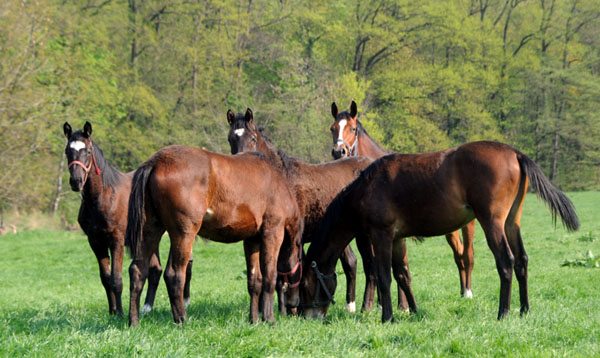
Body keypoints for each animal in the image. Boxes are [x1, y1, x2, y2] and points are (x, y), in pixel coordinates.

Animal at [62, 123, 186, 316]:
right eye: (67, 150)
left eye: (88, 150)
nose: (76, 181)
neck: (103, 197)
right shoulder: (96, 242)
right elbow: (105, 278)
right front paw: (113, 311)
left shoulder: (117, 241)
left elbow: (116, 279)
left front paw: (120, 313)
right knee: (155, 270)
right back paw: (146, 308)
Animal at [126, 145, 304, 324]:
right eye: (301, 264)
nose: (295, 305)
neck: (278, 181)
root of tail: (156, 161)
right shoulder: (272, 232)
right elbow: (269, 276)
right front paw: (268, 319)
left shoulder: (252, 240)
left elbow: (255, 280)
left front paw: (254, 320)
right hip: (183, 233)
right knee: (174, 274)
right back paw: (182, 319)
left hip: (150, 230)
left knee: (138, 270)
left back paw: (134, 322)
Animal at [226, 108, 376, 314]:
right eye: (230, 138)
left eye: (253, 139)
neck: (282, 179)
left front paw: (290, 310)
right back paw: (353, 306)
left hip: (364, 235)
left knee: (371, 266)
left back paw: (367, 307)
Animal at [302, 140, 580, 322]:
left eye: (304, 283)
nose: (307, 316)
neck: (367, 187)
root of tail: (514, 153)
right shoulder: (397, 239)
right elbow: (402, 275)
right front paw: (414, 311)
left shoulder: (381, 235)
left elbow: (384, 276)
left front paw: (387, 317)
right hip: (512, 222)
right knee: (521, 260)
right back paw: (524, 310)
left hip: (492, 222)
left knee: (506, 262)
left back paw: (504, 312)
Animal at [330, 100, 476, 304]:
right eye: (333, 128)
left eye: (352, 128)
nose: (338, 151)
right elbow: (375, 266)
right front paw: (378, 303)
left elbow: (398, 266)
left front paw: (402, 304)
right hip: (451, 228)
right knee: (458, 254)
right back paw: (462, 291)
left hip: (468, 225)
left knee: (468, 255)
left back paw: (468, 292)